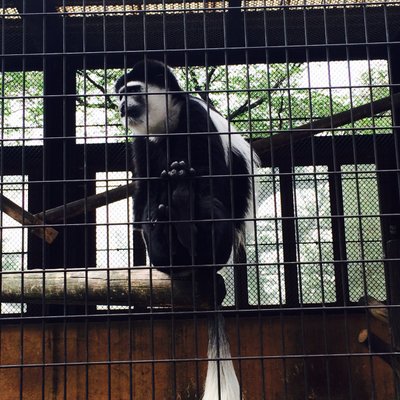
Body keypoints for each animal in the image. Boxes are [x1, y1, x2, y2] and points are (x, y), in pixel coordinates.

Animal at [115, 59, 260, 400]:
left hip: (220, 245)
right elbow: (144, 192)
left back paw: (185, 214)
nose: (123, 108)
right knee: (155, 203)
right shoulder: (141, 142)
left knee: (208, 199)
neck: (167, 126)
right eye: (120, 96)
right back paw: (167, 238)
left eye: (133, 91)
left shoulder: (197, 119)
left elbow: (216, 178)